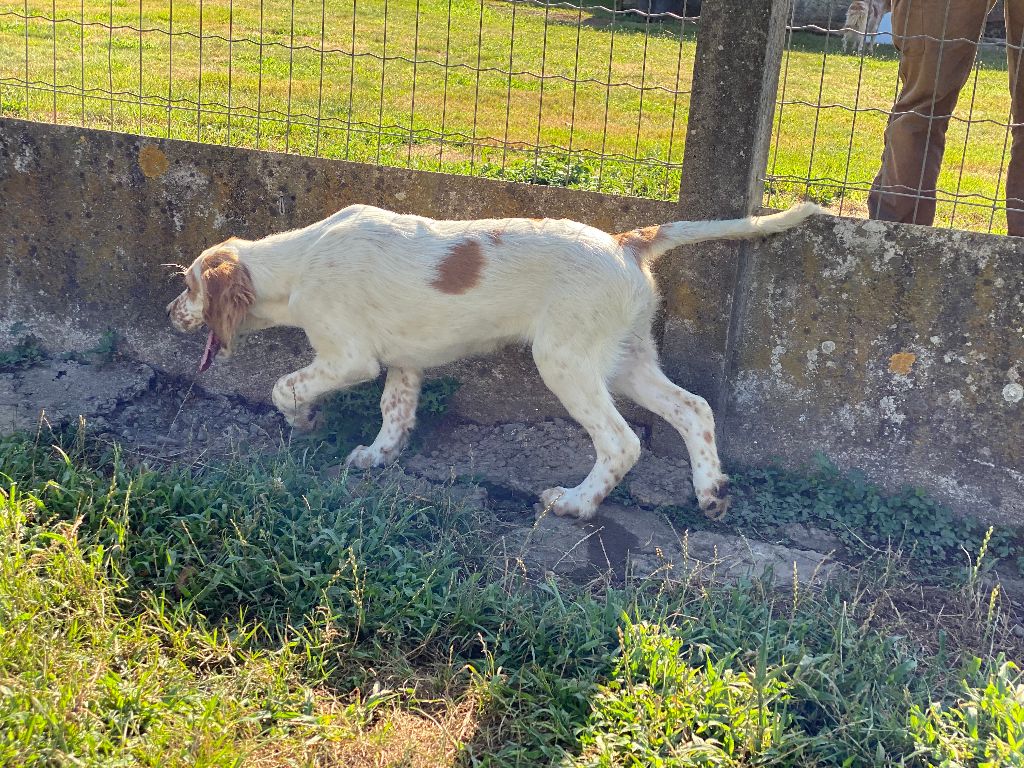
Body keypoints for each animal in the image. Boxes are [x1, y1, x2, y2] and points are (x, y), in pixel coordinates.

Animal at [172, 202, 819, 524]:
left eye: (189, 286)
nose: (168, 313)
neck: (299, 260)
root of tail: (625, 242)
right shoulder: (405, 362)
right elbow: (394, 414)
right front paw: (378, 457)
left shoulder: (349, 356)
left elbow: (287, 386)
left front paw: (304, 421)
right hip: (626, 358)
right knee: (694, 409)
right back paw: (712, 493)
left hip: (565, 361)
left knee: (622, 442)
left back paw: (577, 504)